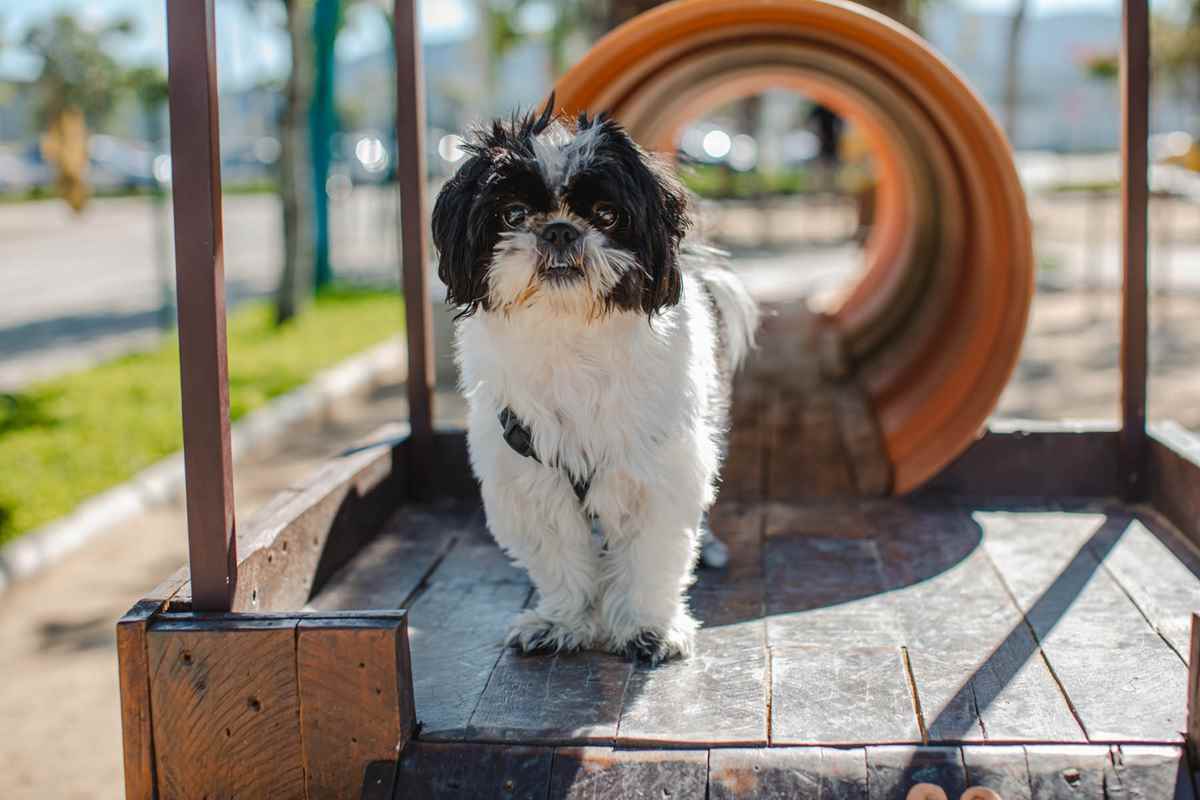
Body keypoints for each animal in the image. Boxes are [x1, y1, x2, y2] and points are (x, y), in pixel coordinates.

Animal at [434, 97, 758, 666]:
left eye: (606, 214)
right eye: (512, 215)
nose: (560, 230)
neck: (572, 336)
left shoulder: (658, 472)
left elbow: (652, 557)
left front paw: (649, 627)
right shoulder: (532, 478)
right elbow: (561, 559)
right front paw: (562, 622)